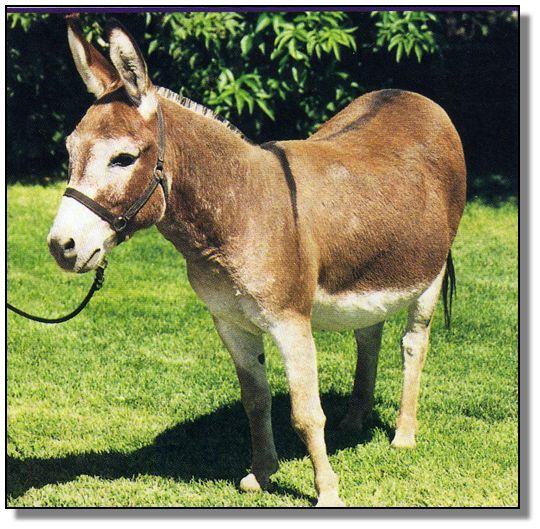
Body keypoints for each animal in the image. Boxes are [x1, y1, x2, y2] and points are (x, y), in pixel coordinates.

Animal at [48, 17, 466, 507]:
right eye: (70, 152)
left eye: (124, 158)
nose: (61, 245)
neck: (239, 209)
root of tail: (410, 94)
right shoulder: (230, 322)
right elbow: (256, 399)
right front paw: (262, 473)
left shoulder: (291, 321)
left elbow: (306, 414)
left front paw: (327, 492)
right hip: (372, 269)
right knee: (368, 334)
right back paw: (354, 420)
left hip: (428, 274)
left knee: (413, 344)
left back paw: (403, 435)